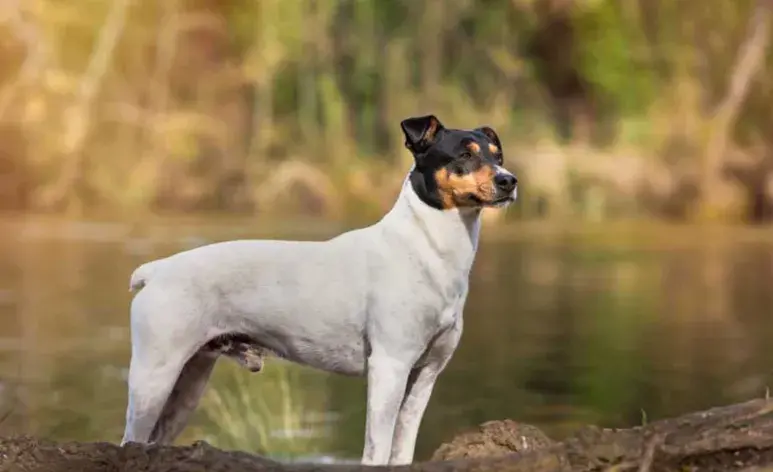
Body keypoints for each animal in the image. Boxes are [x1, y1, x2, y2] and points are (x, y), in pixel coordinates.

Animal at [120, 114, 516, 464]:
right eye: (464, 155)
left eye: (497, 155)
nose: (509, 181)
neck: (425, 248)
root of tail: (157, 270)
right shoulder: (390, 366)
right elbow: (377, 451)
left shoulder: (425, 375)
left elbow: (401, 451)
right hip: (154, 377)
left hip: (188, 383)